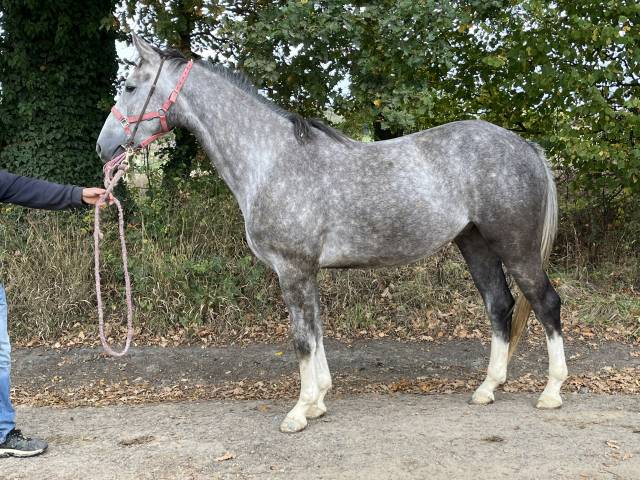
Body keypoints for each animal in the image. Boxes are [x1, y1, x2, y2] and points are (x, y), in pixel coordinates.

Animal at [96, 35, 567, 433]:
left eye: (131, 86)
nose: (104, 147)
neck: (271, 159)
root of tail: (526, 147)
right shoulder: (306, 272)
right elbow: (317, 331)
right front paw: (318, 401)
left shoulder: (293, 270)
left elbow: (302, 338)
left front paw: (298, 412)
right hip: (474, 243)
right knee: (499, 305)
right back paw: (487, 389)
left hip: (516, 247)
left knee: (545, 303)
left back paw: (551, 392)